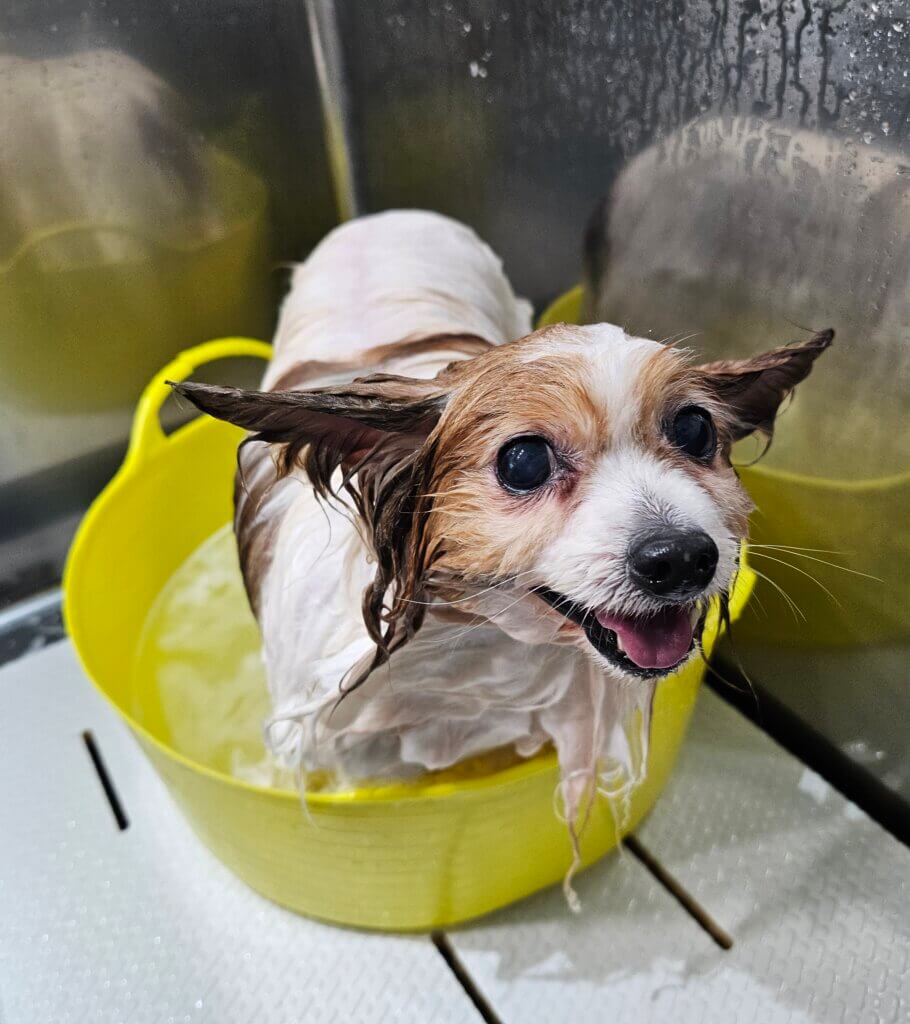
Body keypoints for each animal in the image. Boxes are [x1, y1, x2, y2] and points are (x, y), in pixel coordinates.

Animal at [173, 210, 831, 851]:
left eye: (696, 429)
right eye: (523, 463)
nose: (681, 557)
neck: (483, 653)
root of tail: (386, 216)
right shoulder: (347, 756)